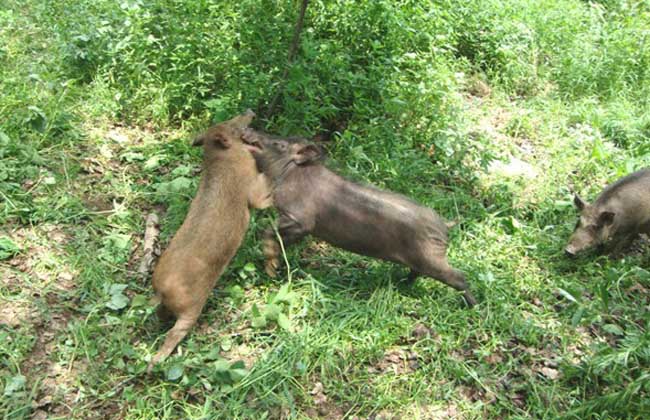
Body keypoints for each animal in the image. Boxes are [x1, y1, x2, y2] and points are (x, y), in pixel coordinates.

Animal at [149, 109, 270, 370]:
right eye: (231, 124)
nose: (249, 111)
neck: (221, 158)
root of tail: (161, 290)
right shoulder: (252, 189)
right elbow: (263, 196)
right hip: (192, 306)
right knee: (174, 334)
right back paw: (154, 363)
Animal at [243, 130, 476, 306]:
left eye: (279, 144)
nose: (248, 129)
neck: (290, 173)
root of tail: (445, 225)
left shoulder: (301, 220)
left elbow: (268, 232)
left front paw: (271, 271)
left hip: (432, 258)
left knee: (459, 276)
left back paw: (471, 306)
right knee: (417, 273)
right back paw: (401, 283)